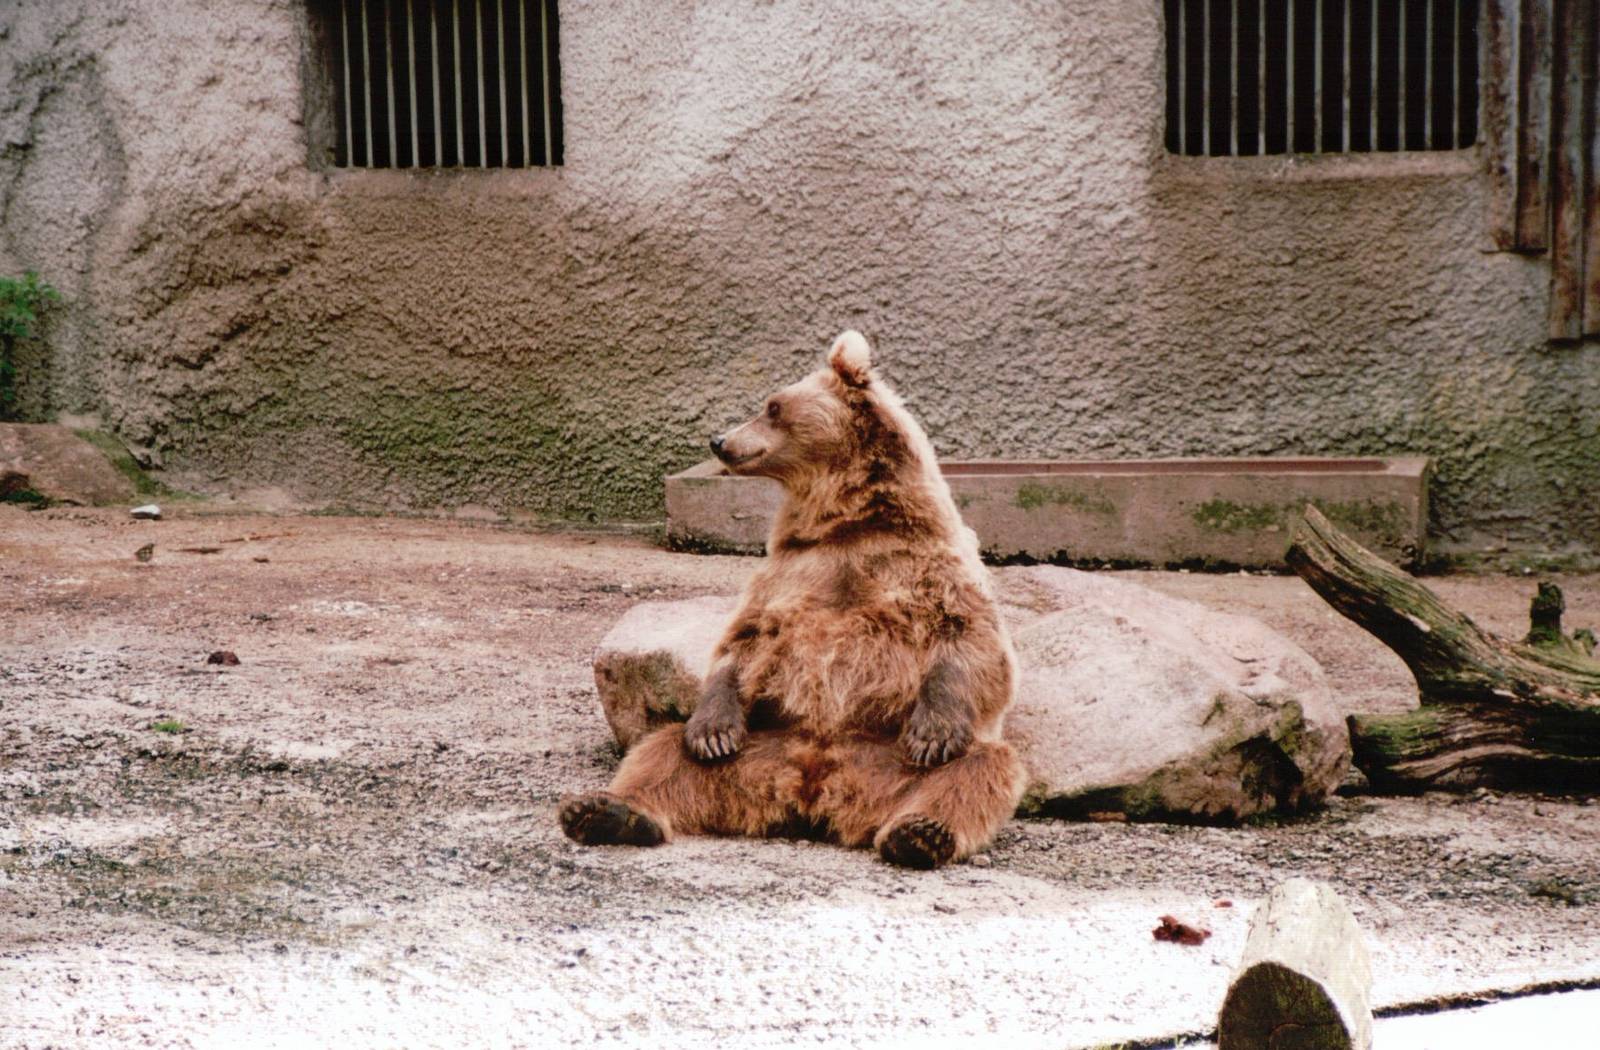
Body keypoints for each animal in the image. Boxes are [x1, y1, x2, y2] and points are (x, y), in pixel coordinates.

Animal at [559, 331, 1026, 868]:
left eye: (772, 406)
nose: (719, 440)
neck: (850, 520)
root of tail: (812, 787)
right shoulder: (790, 570)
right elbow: (746, 639)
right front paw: (712, 731)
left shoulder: (929, 561)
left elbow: (971, 638)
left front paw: (933, 732)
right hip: (760, 747)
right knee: (662, 751)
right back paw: (607, 811)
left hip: (886, 761)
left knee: (982, 769)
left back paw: (921, 833)